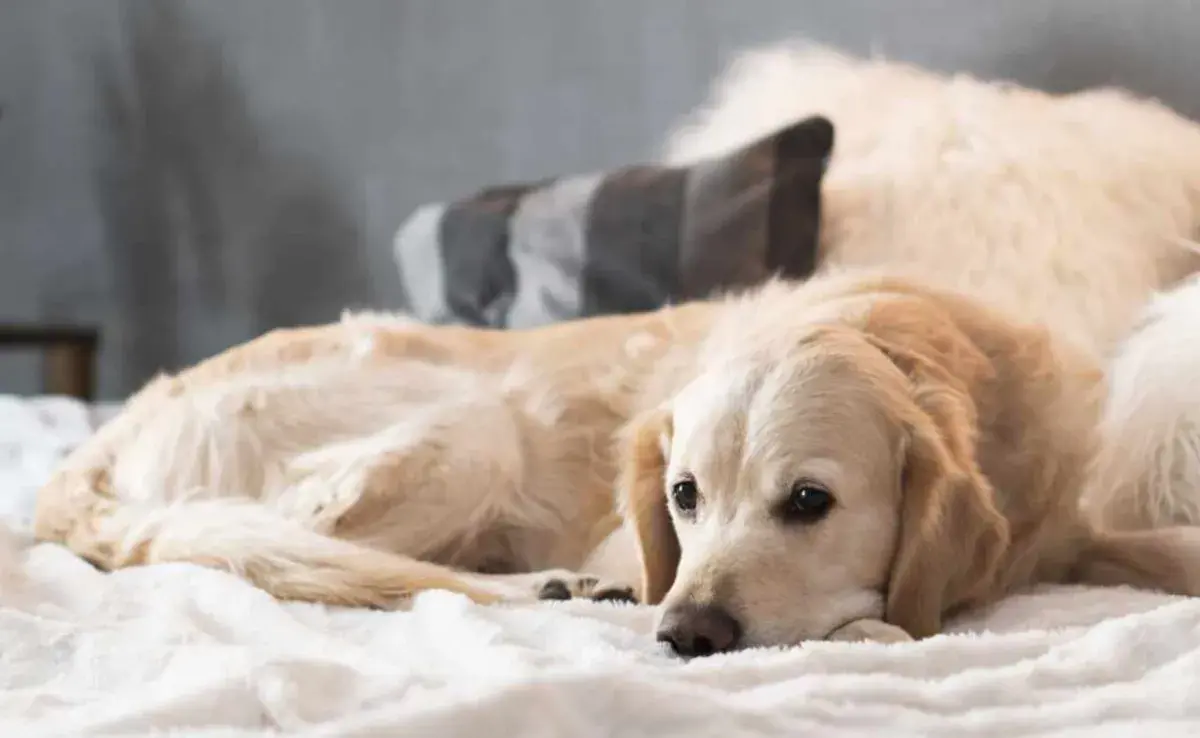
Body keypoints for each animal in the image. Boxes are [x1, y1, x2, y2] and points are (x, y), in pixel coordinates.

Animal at [30, 272, 1200, 657]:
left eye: (809, 500)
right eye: (683, 496)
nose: (687, 635)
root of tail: (104, 437)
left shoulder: (1069, 526)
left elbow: (1153, 547)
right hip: (472, 428)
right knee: (325, 558)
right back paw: (556, 586)